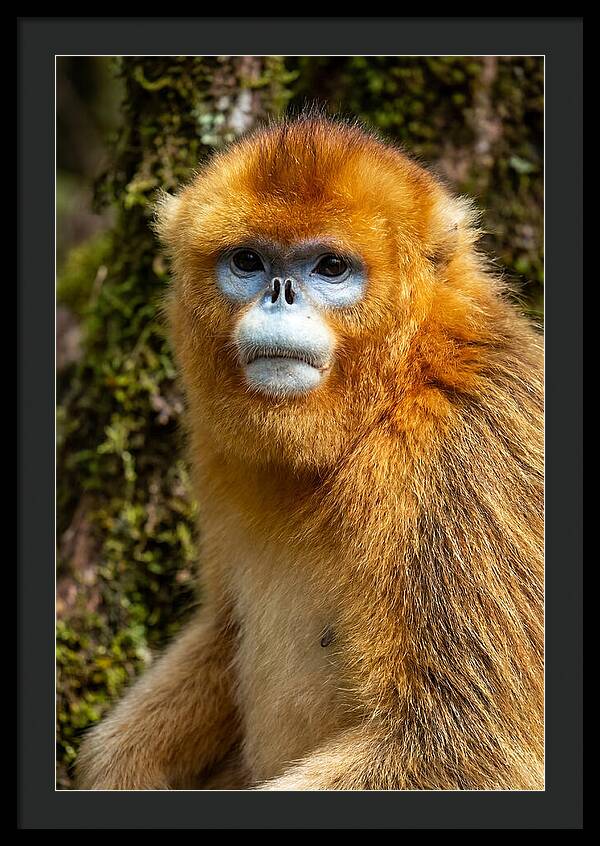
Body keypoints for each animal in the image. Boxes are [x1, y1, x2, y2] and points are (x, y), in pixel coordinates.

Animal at [76, 115, 544, 791]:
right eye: (248, 260)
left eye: (329, 267)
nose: (280, 292)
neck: (394, 395)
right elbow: (222, 628)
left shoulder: (465, 454)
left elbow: (467, 749)